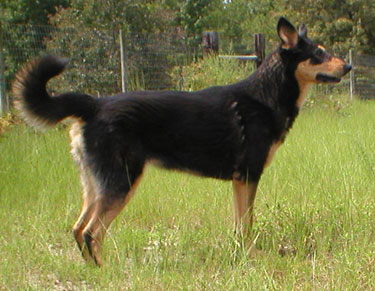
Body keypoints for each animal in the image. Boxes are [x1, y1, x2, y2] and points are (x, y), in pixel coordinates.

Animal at [12, 16, 352, 266]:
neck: (266, 96)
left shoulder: (240, 180)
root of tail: (94, 105)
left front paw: (241, 255)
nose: (348, 66)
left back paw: (96, 270)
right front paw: (251, 257)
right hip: (122, 182)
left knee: (78, 229)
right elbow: (247, 223)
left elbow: (240, 225)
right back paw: (106, 271)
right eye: (318, 54)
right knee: (91, 232)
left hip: (98, 184)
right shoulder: (248, 175)